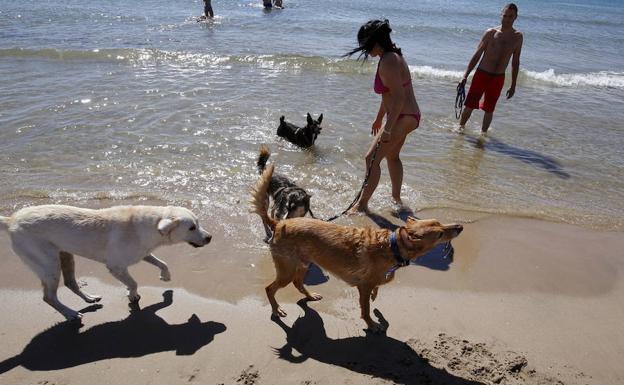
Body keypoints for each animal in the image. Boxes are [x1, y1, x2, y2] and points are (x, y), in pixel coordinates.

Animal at [0, 204, 212, 320]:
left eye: (198, 223)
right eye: (192, 227)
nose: (210, 237)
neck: (151, 226)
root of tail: (11, 220)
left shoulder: (143, 253)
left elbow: (162, 263)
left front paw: (165, 277)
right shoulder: (116, 266)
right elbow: (133, 282)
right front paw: (132, 296)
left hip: (65, 256)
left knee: (70, 283)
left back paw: (89, 298)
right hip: (49, 264)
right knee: (49, 297)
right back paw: (70, 314)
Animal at [252, 166, 464, 332]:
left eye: (439, 222)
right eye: (439, 234)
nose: (460, 226)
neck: (392, 245)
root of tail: (279, 223)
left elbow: (377, 288)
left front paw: (376, 297)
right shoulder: (363, 286)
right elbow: (366, 309)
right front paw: (372, 324)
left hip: (304, 263)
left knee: (298, 283)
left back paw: (310, 296)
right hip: (286, 269)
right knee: (270, 289)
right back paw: (276, 309)